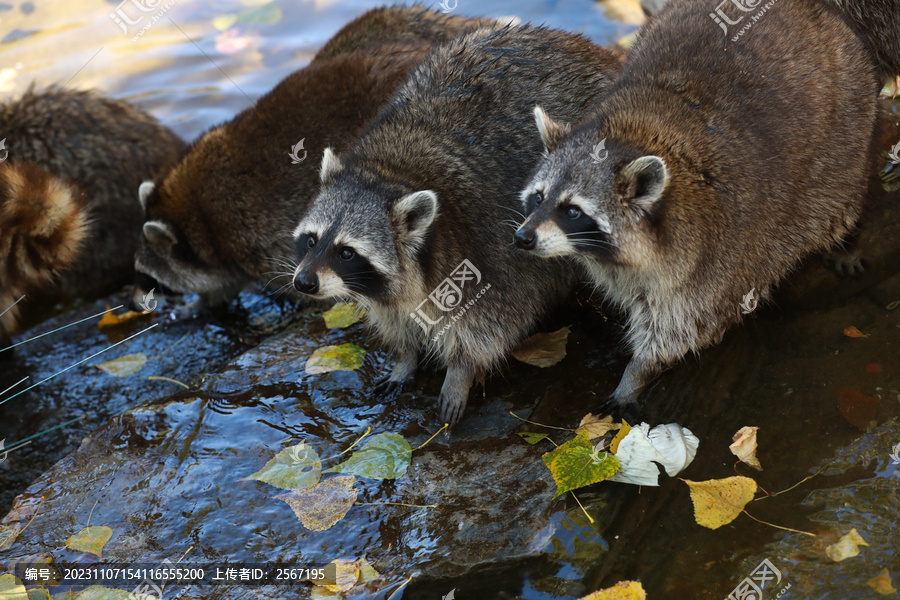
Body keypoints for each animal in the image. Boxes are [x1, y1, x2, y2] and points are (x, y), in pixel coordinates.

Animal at [292, 24, 624, 426]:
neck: (389, 175)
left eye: (346, 252)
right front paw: (406, 357)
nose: (304, 282)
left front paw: (459, 373)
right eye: (311, 240)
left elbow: (490, 323)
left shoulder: (482, 245)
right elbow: (396, 318)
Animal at [512, 0, 880, 410]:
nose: (523, 237)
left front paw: (636, 374)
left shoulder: (713, 258)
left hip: (845, 132)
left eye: (573, 211)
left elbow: (684, 327)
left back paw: (847, 237)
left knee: (835, 203)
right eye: (539, 197)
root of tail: (810, 8)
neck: (625, 138)